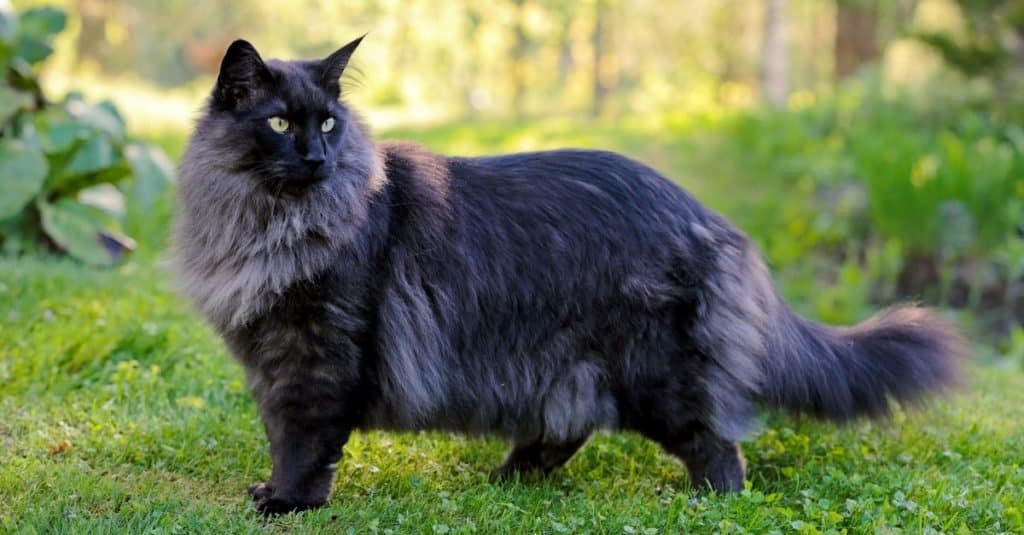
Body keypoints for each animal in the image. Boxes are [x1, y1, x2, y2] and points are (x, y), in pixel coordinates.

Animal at [172, 37, 962, 512]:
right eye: (280, 124)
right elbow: (285, 435)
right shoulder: (273, 357)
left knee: (718, 443)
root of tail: (709, 216)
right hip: (561, 368)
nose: (316, 156)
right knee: (564, 431)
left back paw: (707, 504)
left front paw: (286, 501)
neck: (273, 223)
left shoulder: (313, 355)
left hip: (657, 373)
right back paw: (504, 482)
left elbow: (302, 441)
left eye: (329, 123)